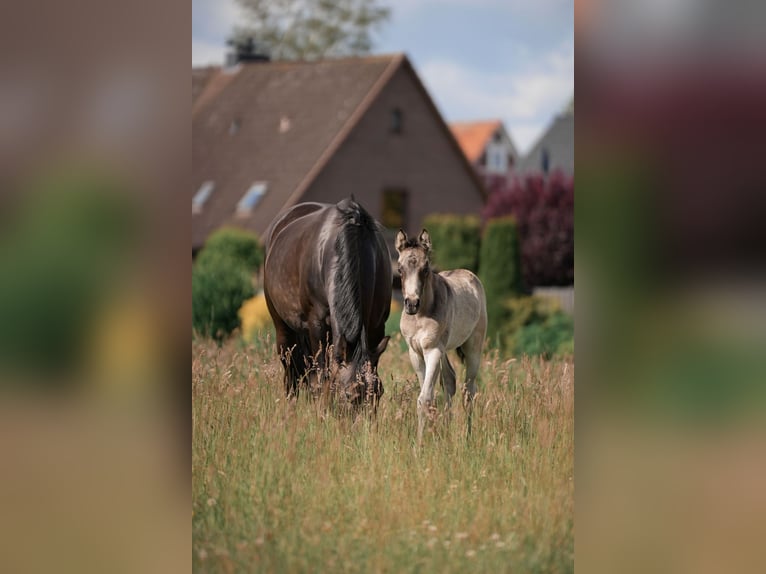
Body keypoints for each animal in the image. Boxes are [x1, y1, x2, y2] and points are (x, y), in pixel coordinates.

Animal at [266, 200, 396, 408]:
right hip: (283, 327)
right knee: (291, 372)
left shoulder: (376, 327)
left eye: (378, 393)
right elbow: (321, 379)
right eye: (349, 395)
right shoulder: (316, 325)